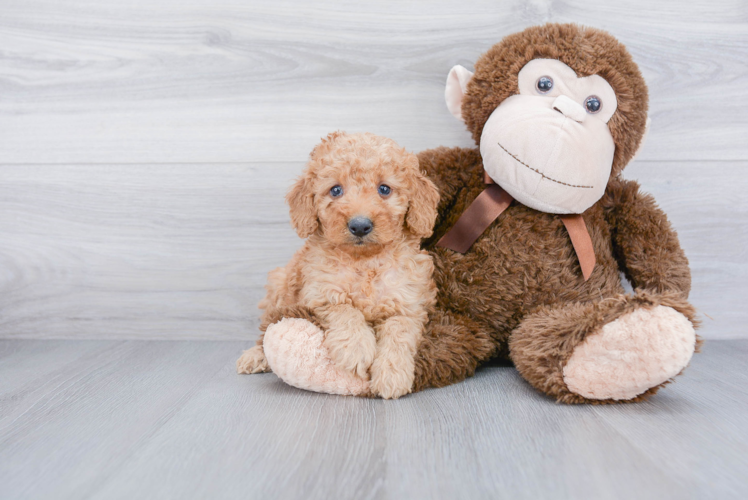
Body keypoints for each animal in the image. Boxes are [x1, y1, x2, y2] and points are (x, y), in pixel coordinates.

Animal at [238, 132, 438, 398]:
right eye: (335, 190)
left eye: (384, 189)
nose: (360, 225)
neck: (365, 260)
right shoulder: (319, 294)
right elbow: (344, 309)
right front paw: (356, 349)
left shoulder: (409, 304)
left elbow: (400, 331)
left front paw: (392, 375)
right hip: (279, 286)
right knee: (264, 331)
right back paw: (254, 356)